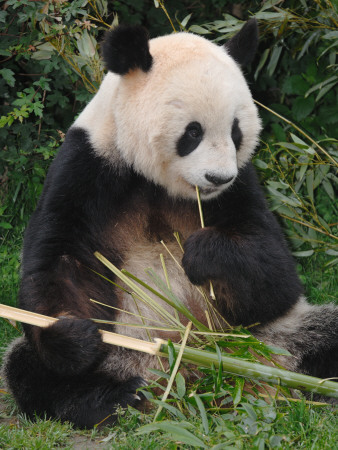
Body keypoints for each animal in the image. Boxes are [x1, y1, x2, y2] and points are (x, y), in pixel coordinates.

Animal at [2, 21, 338, 428]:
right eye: (193, 132)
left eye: (236, 131)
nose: (218, 177)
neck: (160, 183)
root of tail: (186, 378)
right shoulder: (87, 168)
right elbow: (62, 263)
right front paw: (75, 333)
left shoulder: (242, 188)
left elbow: (276, 277)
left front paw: (204, 253)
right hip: (120, 354)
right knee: (29, 368)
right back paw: (113, 397)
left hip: (273, 336)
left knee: (324, 335)